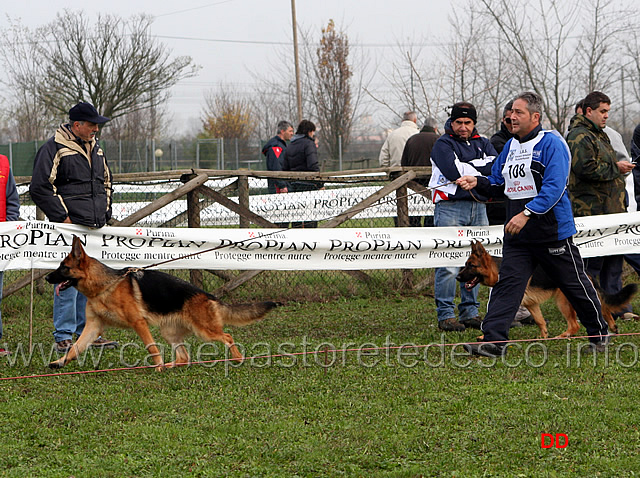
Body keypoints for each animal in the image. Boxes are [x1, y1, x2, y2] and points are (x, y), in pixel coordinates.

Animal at [45, 237, 280, 372]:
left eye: (63, 268)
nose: (47, 278)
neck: (105, 285)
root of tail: (209, 297)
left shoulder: (138, 323)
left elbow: (151, 347)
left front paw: (157, 365)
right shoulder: (93, 327)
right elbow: (76, 347)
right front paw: (60, 362)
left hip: (204, 331)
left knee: (228, 337)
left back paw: (238, 359)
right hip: (170, 333)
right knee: (184, 358)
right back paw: (170, 366)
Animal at [458, 241, 636, 338]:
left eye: (471, 266)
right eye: (465, 264)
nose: (458, 278)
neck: (498, 270)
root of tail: (586, 271)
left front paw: (484, 336)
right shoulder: (531, 304)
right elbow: (540, 321)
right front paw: (543, 337)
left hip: (564, 302)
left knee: (576, 324)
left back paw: (564, 335)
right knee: (603, 309)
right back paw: (612, 327)